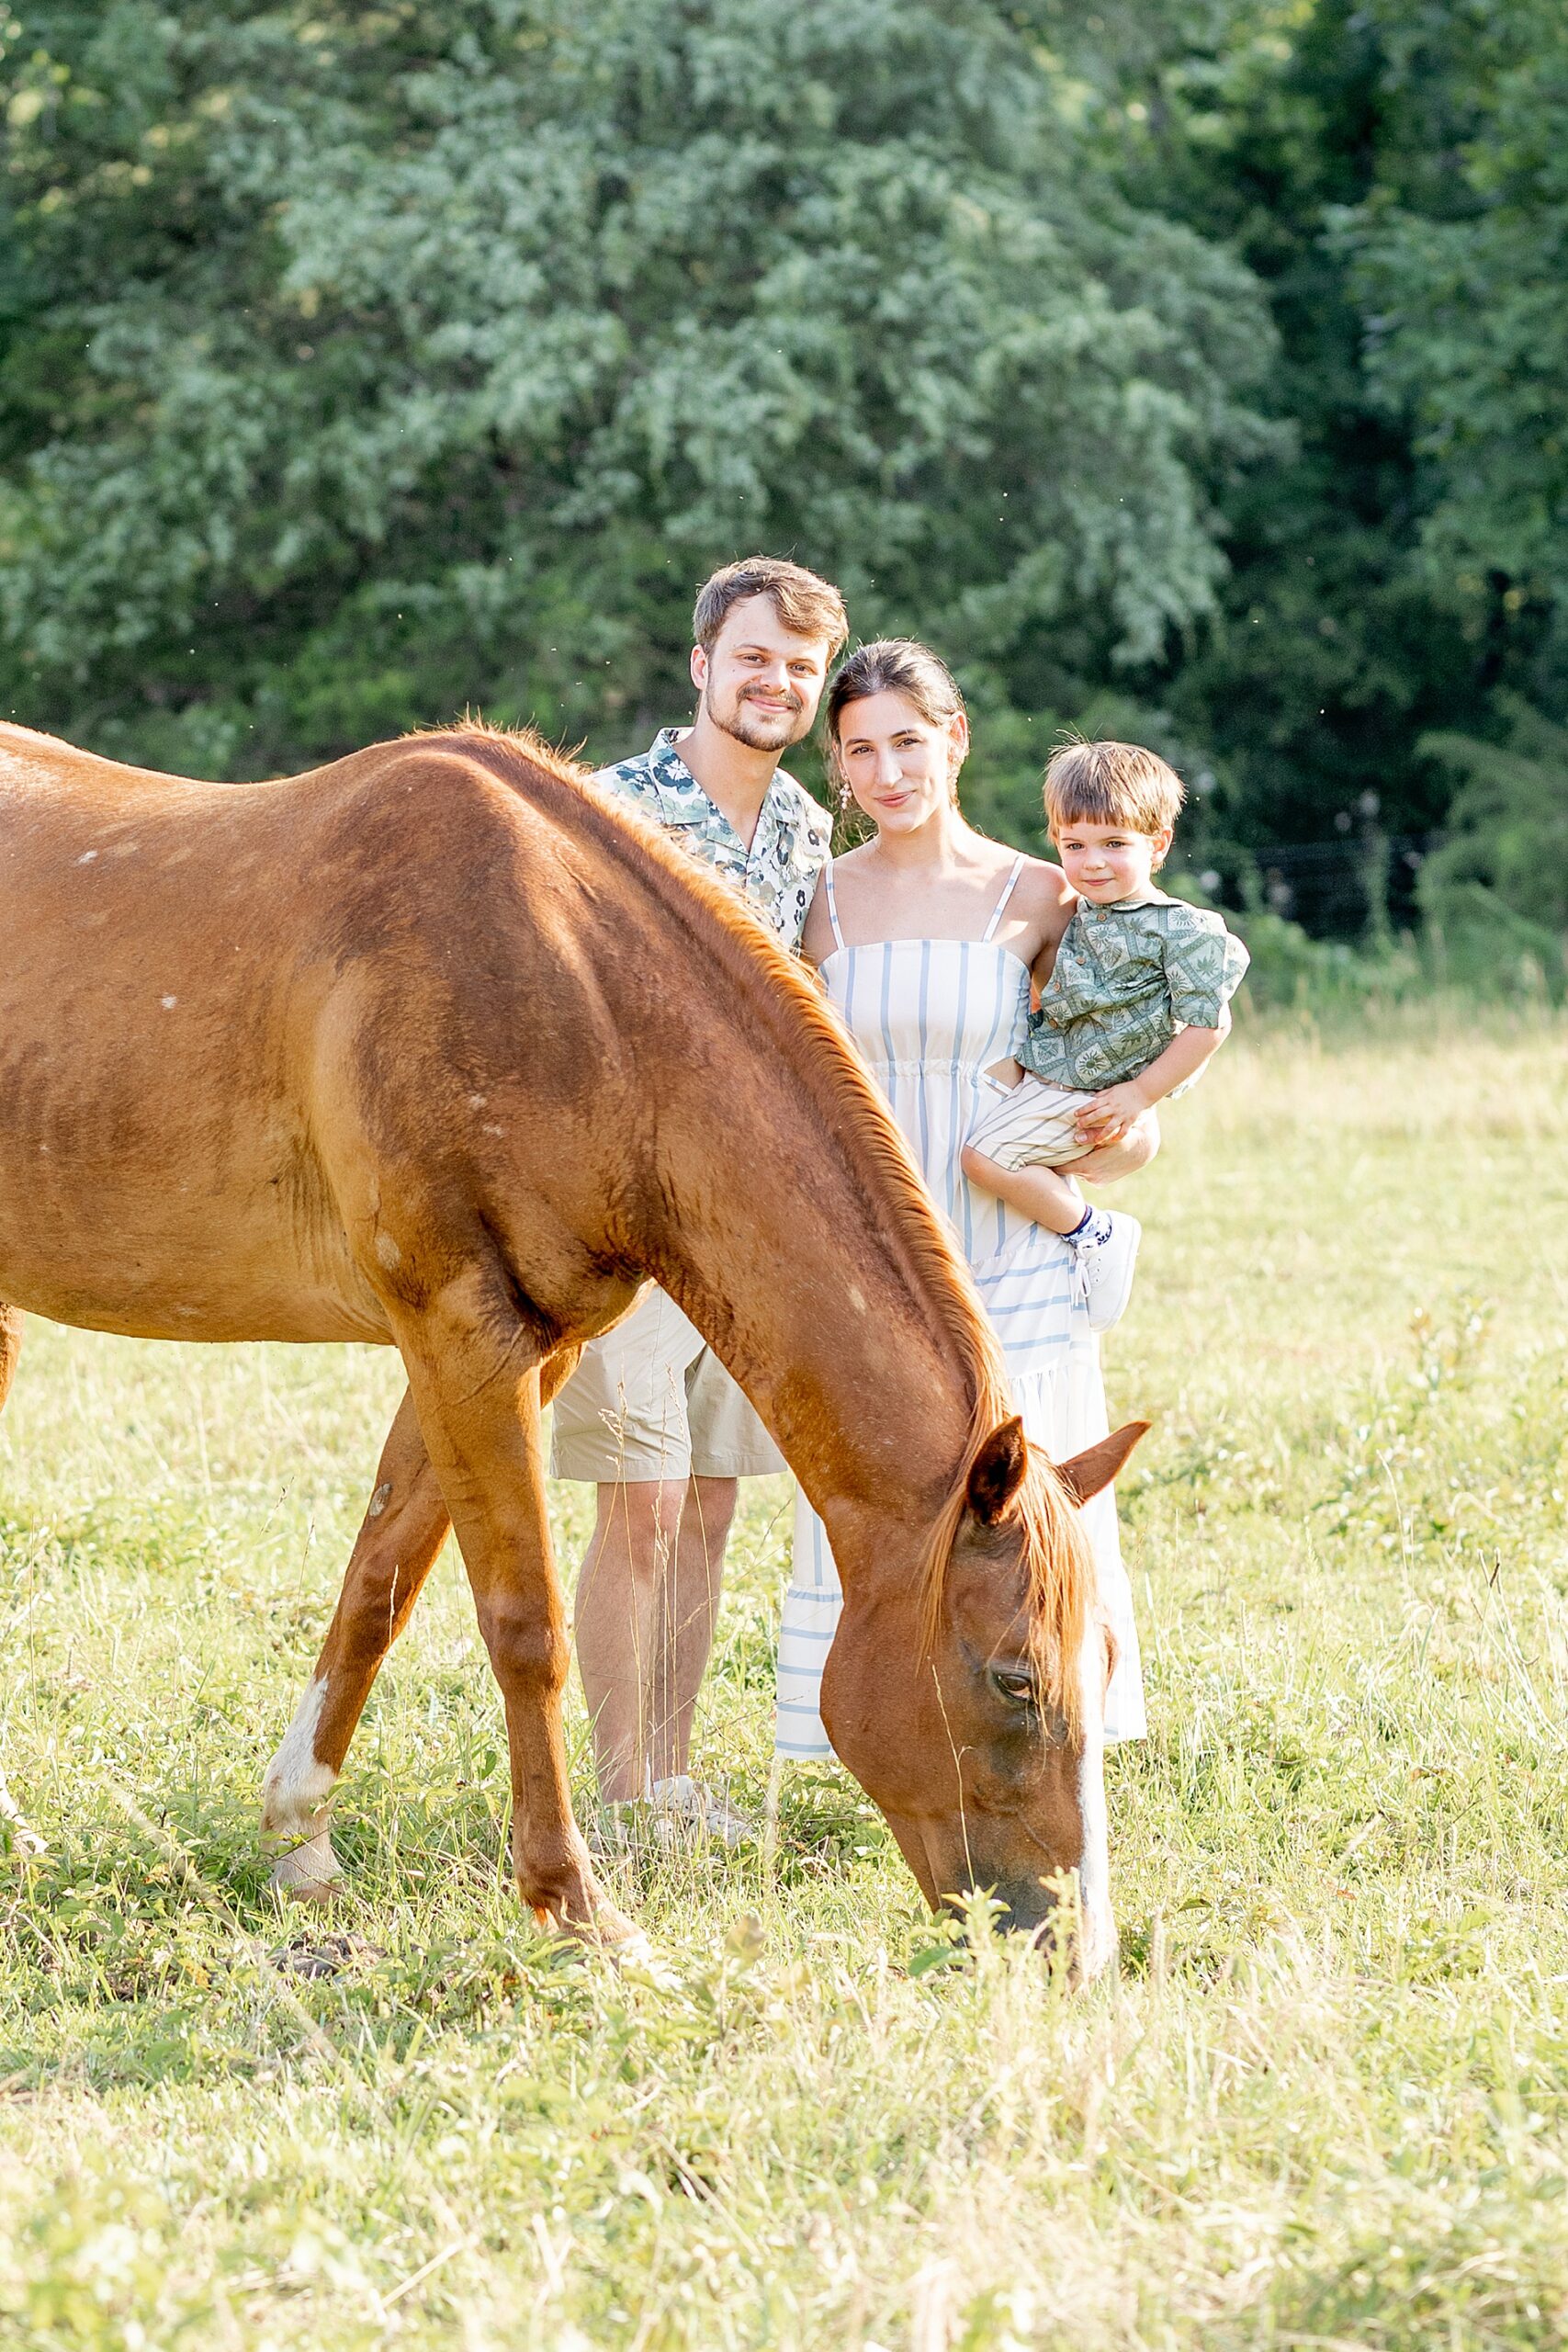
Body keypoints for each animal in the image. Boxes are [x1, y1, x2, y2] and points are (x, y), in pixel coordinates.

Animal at [0, 720, 1145, 1973]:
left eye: (1104, 1663)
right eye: (1015, 1678)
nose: (1075, 1948)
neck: (578, 994)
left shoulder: (516, 1350)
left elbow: (379, 1585)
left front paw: (299, 1839)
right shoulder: (459, 1329)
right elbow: (526, 1625)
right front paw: (578, 1907)